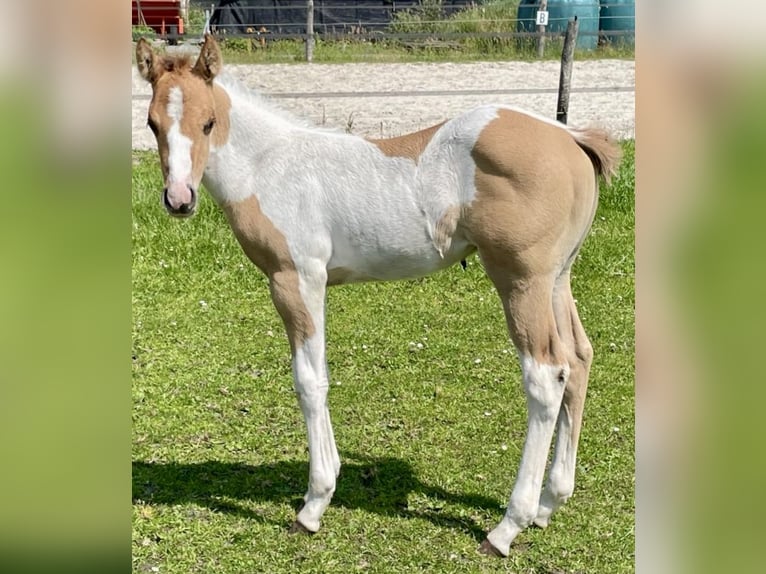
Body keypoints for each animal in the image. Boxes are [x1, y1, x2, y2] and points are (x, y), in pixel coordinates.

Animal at [135, 35, 621, 557]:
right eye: (152, 124)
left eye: (208, 122)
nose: (179, 199)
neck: (269, 165)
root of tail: (569, 137)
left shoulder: (296, 279)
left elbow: (310, 381)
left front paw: (313, 505)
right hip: (557, 279)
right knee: (579, 359)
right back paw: (550, 504)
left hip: (521, 281)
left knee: (546, 375)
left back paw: (508, 526)